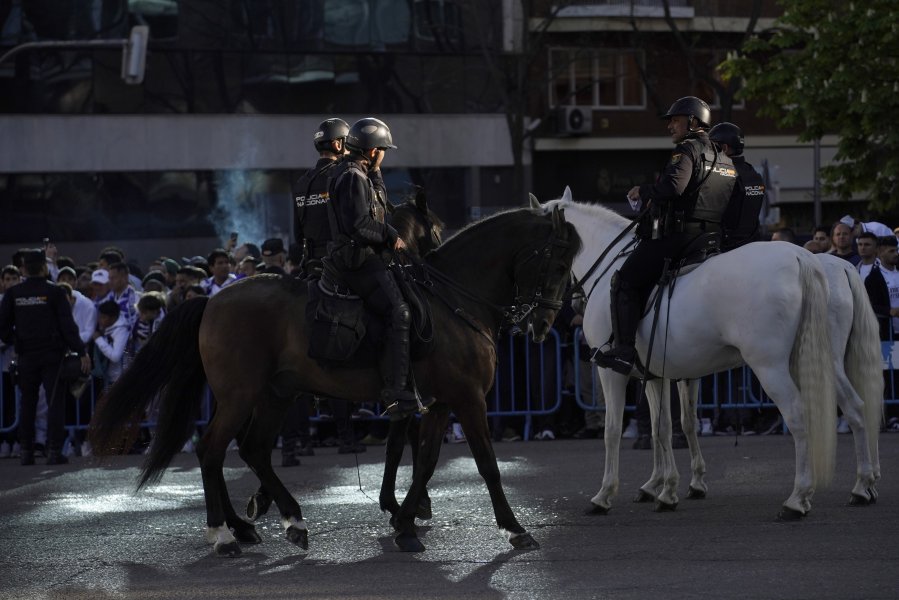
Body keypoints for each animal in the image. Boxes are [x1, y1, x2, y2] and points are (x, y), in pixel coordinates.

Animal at [91, 209, 580, 556]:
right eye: (558, 262)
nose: (544, 323)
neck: (454, 300)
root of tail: (211, 301)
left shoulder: (441, 403)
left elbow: (424, 463)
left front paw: (405, 522)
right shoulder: (469, 399)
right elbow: (486, 465)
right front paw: (514, 529)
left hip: (275, 394)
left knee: (252, 450)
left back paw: (277, 522)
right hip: (240, 395)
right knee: (212, 449)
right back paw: (226, 534)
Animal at [544, 189, 840, 520]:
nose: (567, 308)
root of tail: (800, 257)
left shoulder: (611, 372)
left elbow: (613, 430)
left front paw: (605, 494)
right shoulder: (656, 374)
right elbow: (665, 427)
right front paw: (665, 488)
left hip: (770, 367)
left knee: (799, 415)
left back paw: (797, 498)